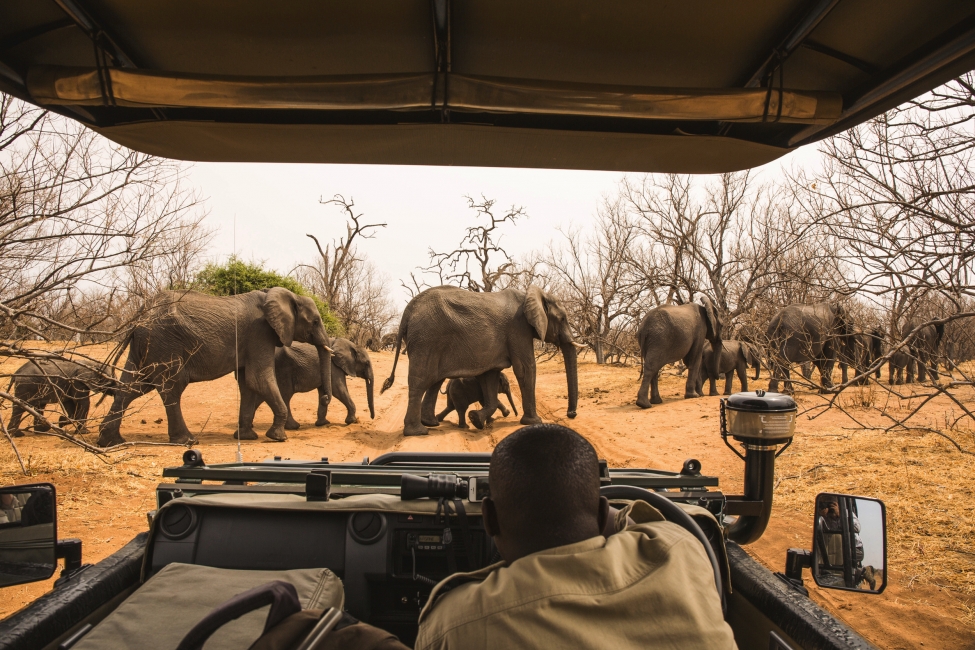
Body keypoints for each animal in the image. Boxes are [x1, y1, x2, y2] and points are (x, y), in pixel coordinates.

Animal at [98, 288, 333, 447]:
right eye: (315, 321)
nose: (324, 398)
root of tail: (138, 318)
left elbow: (248, 383)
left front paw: (246, 437)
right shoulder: (259, 332)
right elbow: (259, 378)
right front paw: (278, 437)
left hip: (146, 346)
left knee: (132, 387)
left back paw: (111, 442)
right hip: (164, 343)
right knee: (171, 387)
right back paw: (187, 441)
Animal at [243, 338, 375, 429]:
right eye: (367, 363)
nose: (372, 418)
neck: (350, 344)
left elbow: (323, 390)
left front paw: (322, 424)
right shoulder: (334, 367)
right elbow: (338, 390)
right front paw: (351, 421)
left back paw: (250, 426)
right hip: (283, 368)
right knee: (285, 395)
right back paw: (294, 427)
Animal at [381, 285, 581, 437]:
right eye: (562, 318)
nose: (571, 414)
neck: (531, 294)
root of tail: (408, 311)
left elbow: (489, 377)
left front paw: (476, 420)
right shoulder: (518, 329)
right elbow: (525, 369)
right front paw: (533, 423)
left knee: (434, 381)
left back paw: (431, 424)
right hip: (426, 339)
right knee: (420, 381)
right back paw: (418, 432)